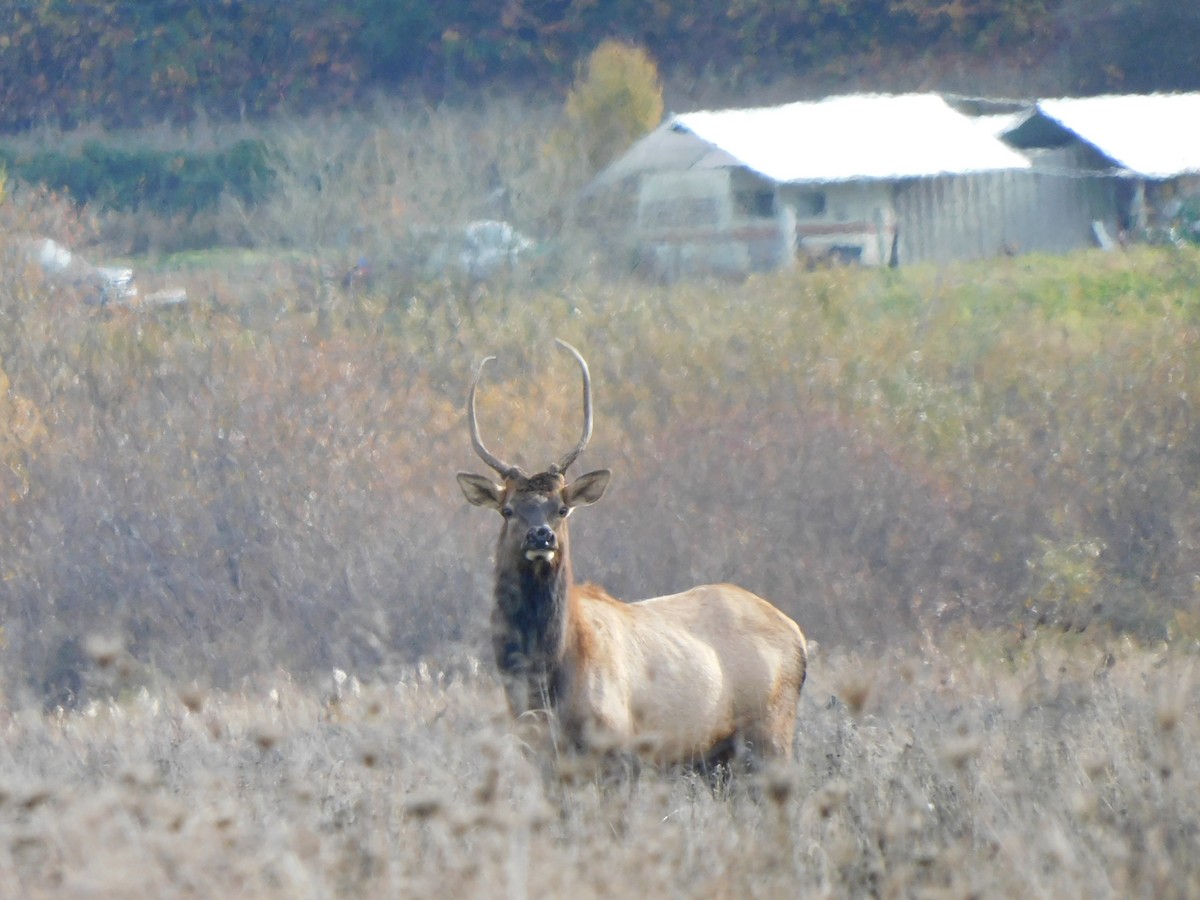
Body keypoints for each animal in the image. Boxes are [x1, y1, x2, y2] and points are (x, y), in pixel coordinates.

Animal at [456, 340, 807, 773]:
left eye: (562, 508)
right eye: (507, 509)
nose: (541, 535)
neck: (541, 681)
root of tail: (798, 637)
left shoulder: (618, 749)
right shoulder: (540, 756)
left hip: (771, 734)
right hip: (717, 759)